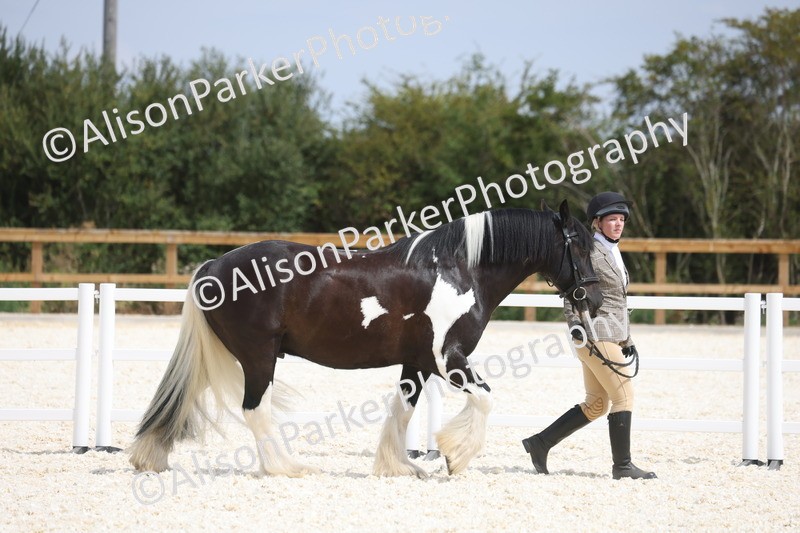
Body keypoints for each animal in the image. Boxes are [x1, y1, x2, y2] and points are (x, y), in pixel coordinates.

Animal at [128, 199, 602, 477]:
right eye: (579, 245)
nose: (595, 298)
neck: (457, 268)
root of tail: (215, 265)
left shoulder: (418, 364)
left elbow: (403, 412)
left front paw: (400, 467)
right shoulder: (448, 358)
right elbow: (486, 398)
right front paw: (454, 456)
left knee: (181, 399)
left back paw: (150, 458)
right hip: (259, 357)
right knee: (254, 411)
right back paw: (285, 468)